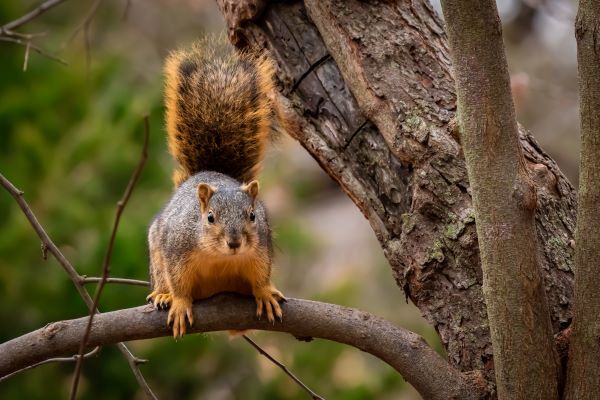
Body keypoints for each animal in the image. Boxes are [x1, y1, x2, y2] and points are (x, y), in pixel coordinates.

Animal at [146, 37, 284, 338]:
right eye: (209, 218)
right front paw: (179, 303)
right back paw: (163, 294)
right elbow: (179, 282)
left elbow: (261, 275)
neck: (220, 257)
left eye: (252, 216)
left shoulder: (260, 250)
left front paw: (265, 293)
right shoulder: (176, 249)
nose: (234, 243)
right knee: (163, 277)